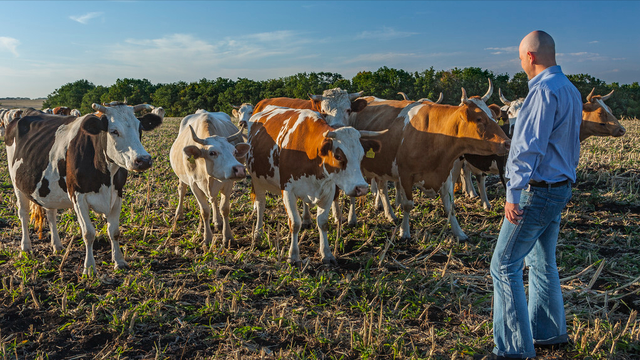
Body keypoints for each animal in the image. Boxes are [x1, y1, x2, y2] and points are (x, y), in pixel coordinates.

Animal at [5, 102, 160, 276]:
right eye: (114, 131)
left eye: (140, 128)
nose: (144, 160)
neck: (105, 175)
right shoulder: (78, 197)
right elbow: (88, 233)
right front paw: (90, 268)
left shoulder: (117, 194)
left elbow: (114, 231)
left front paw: (119, 261)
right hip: (17, 183)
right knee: (23, 214)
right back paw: (26, 247)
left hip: (48, 189)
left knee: (51, 213)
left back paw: (57, 246)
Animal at [170, 111, 250, 249]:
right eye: (212, 153)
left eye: (234, 151)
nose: (240, 169)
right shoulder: (194, 185)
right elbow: (204, 211)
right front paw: (207, 238)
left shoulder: (228, 183)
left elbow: (224, 209)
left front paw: (228, 237)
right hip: (182, 178)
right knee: (182, 191)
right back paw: (178, 214)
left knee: (213, 199)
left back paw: (217, 222)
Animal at [248, 105, 382, 266]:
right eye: (338, 156)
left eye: (361, 156)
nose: (361, 188)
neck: (309, 152)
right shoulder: (287, 190)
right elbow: (294, 223)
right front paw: (293, 256)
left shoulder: (328, 190)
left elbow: (322, 222)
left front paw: (326, 254)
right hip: (256, 179)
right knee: (261, 204)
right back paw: (258, 234)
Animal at [350, 89, 510, 240]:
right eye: (479, 119)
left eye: (493, 117)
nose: (507, 142)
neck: (434, 134)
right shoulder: (405, 175)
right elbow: (407, 204)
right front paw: (404, 232)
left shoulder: (445, 174)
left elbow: (450, 206)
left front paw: (459, 233)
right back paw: (352, 218)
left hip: (382, 167)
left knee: (382, 189)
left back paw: (390, 214)